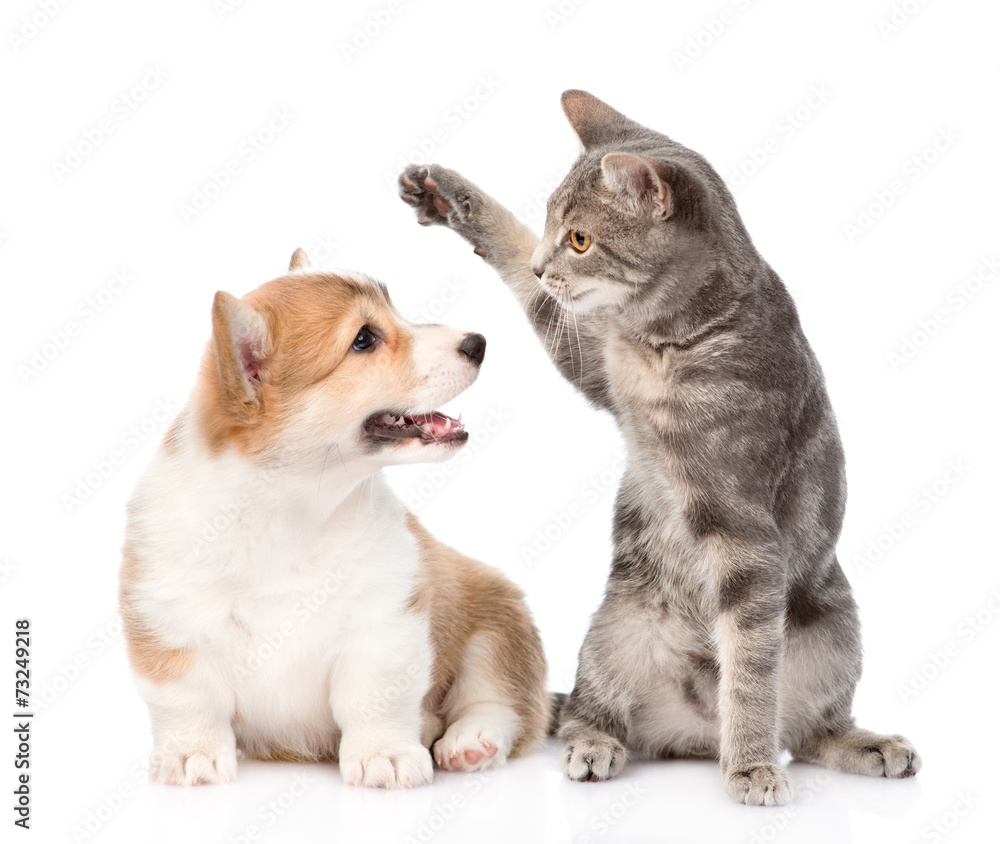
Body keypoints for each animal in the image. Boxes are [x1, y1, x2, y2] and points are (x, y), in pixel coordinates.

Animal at [123, 247, 556, 788]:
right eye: (363, 339)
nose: (478, 343)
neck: (290, 510)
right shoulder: (169, 628)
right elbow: (189, 703)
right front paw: (190, 755)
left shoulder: (385, 626)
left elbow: (372, 700)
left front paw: (384, 755)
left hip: (497, 619)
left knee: (504, 704)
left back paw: (468, 740)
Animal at [398, 90, 920, 804]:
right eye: (549, 226)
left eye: (581, 239)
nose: (544, 265)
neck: (664, 341)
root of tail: (694, 735)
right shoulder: (594, 358)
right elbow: (526, 277)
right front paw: (449, 195)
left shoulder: (744, 533)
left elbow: (751, 669)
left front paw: (751, 765)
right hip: (615, 630)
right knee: (590, 709)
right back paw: (596, 745)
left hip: (835, 628)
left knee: (812, 728)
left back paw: (865, 745)